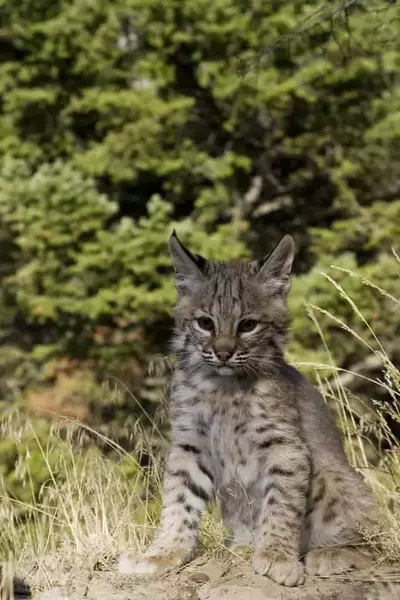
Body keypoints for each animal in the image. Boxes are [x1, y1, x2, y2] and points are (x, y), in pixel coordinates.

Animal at [120, 233, 376, 584]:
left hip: (333, 474)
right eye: (205, 323)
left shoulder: (285, 445)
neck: (224, 386)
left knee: (375, 543)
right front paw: (163, 553)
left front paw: (277, 556)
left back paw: (329, 554)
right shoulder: (190, 441)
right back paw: (240, 547)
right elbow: (179, 499)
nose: (224, 353)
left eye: (248, 325)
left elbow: (281, 503)